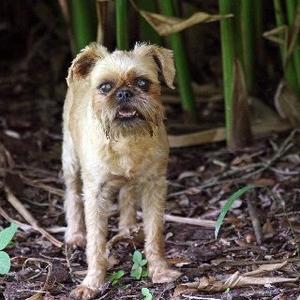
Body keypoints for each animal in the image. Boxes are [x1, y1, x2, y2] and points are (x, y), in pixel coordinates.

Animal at [62, 41, 180, 298]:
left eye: (143, 83)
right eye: (105, 87)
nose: (124, 93)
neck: (126, 139)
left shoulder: (155, 185)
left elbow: (154, 233)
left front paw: (160, 270)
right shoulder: (95, 193)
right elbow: (96, 242)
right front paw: (92, 283)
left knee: (127, 194)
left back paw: (127, 229)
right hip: (70, 159)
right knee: (72, 193)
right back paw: (75, 234)